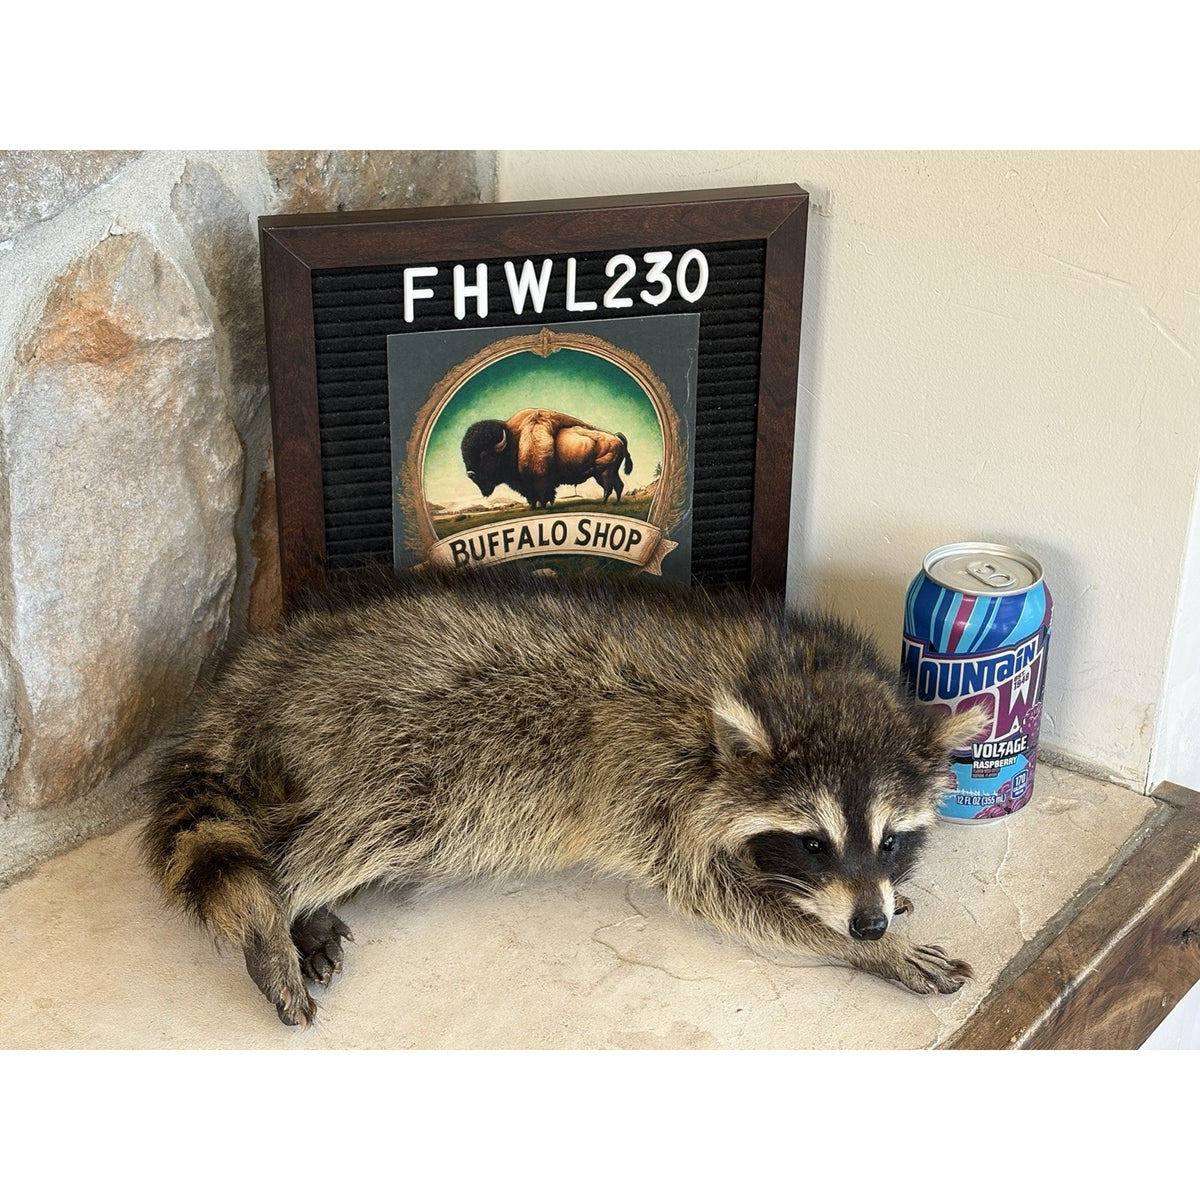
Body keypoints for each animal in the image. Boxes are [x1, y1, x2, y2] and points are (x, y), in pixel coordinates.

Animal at [142, 567, 985, 1027]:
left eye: (890, 840)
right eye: (813, 842)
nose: (869, 923)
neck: (789, 676)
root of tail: (274, 657)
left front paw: (878, 917)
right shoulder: (663, 786)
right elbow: (717, 892)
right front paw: (864, 947)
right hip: (397, 745)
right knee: (357, 827)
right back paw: (288, 901)